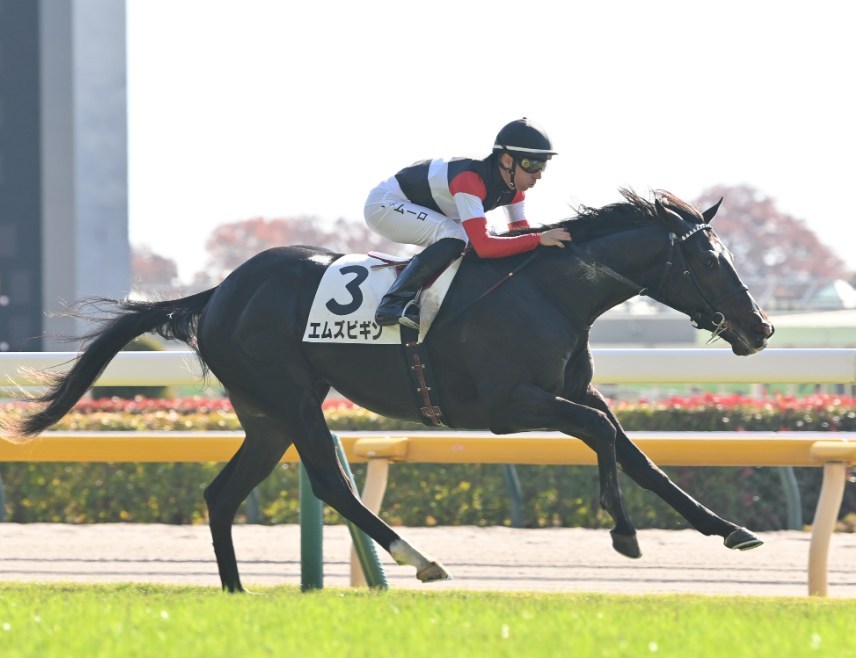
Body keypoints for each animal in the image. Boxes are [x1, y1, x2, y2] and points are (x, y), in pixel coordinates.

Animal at [2, 189, 774, 592]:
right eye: (710, 260)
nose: (760, 327)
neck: (551, 292)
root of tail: (217, 292)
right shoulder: (508, 407)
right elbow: (606, 438)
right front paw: (622, 533)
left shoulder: (576, 393)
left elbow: (637, 452)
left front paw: (728, 528)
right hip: (292, 399)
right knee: (330, 484)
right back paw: (418, 559)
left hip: (265, 415)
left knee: (223, 494)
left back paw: (238, 592)